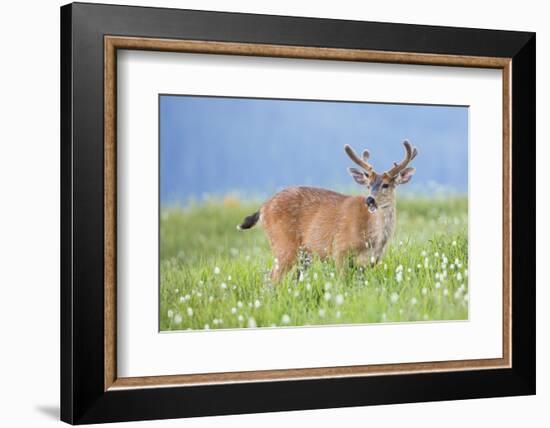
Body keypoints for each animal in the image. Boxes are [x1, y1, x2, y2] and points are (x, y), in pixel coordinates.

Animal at [237, 140, 418, 280]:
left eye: (386, 185)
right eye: (368, 185)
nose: (370, 200)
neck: (373, 239)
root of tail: (263, 208)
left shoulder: (371, 262)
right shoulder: (340, 250)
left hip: (304, 254)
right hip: (283, 243)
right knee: (271, 279)